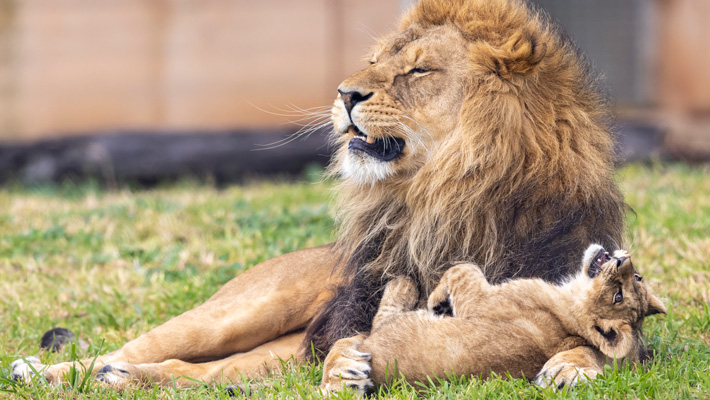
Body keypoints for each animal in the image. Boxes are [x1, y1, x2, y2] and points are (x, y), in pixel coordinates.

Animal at [11, 0, 627, 392]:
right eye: (376, 61)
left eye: (419, 69)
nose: (345, 93)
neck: (442, 198)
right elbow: (351, 339)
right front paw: (342, 371)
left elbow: (601, 342)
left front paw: (572, 365)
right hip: (236, 313)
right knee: (135, 348)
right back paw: (47, 373)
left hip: (267, 357)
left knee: (198, 372)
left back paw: (117, 381)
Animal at [333, 245, 665, 393]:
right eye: (636, 278)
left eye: (618, 296)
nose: (623, 259)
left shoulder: (480, 300)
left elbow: (464, 268)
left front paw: (437, 298)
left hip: (391, 328)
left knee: (380, 318)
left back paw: (403, 284)